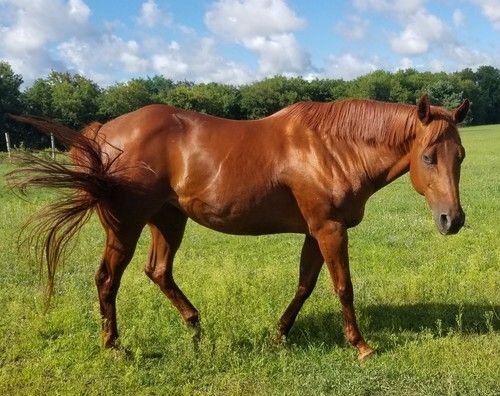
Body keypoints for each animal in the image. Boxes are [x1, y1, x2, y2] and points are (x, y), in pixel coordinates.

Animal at [8, 94, 468, 360]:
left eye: (460, 155)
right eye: (428, 156)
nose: (453, 219)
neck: (332, 147)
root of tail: (103, 133)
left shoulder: (315, 231)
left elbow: (305, 284)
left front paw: (279, 335)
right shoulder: (330, 229)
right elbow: (343, 287)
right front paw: (361, 346)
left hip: (168, 219)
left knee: (158, 271)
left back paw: (195, 326)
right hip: (126, 226)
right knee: (107, 279)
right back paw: (115, 347)